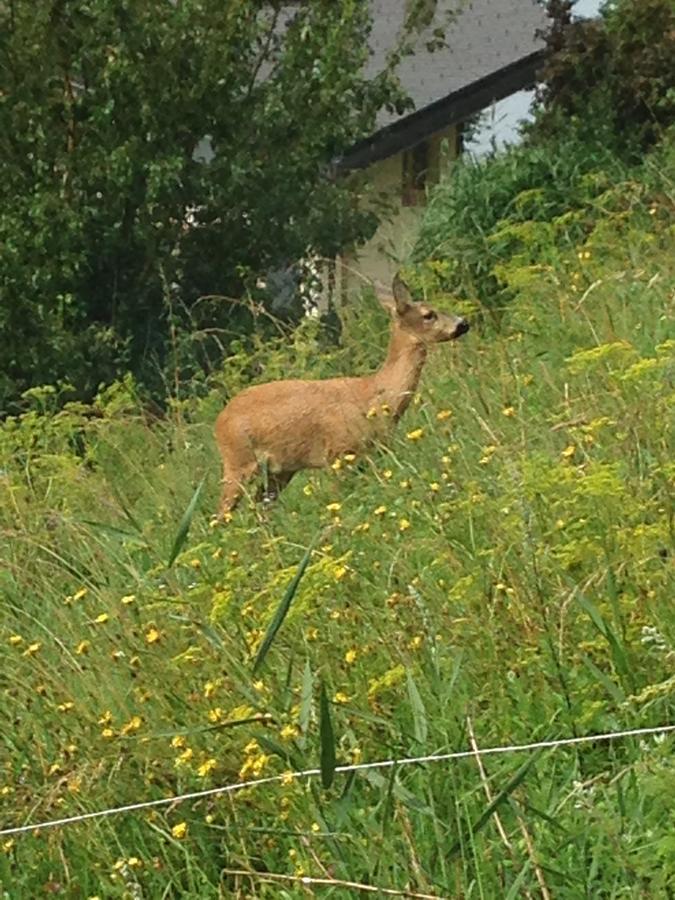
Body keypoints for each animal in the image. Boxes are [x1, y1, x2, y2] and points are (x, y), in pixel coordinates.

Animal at [217, 274, 470, 516]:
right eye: (429, 315)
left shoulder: (370, 454)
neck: (376, 397)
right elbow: (338, 498)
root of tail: (220, 421)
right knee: (222, 514)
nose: (463, 323)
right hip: (239, 461)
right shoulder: (338, 454)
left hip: (280, 470)